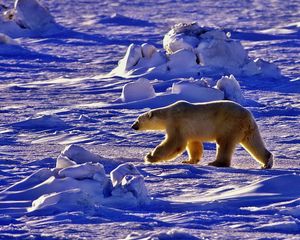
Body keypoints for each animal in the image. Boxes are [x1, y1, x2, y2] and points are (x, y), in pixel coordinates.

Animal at [132, 101, 274, 169]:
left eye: (138, 120)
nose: (133, 126)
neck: (167, 114)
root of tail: (248, 118)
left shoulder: (176, 122)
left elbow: (175, 143)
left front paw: (149, 157)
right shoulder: (189, 130)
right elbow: (193, 144)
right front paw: (189, 161)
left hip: (229, 125)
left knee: (224, 143)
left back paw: (215, 163)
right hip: (248, 130)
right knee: (254, 143)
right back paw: (266, 163)